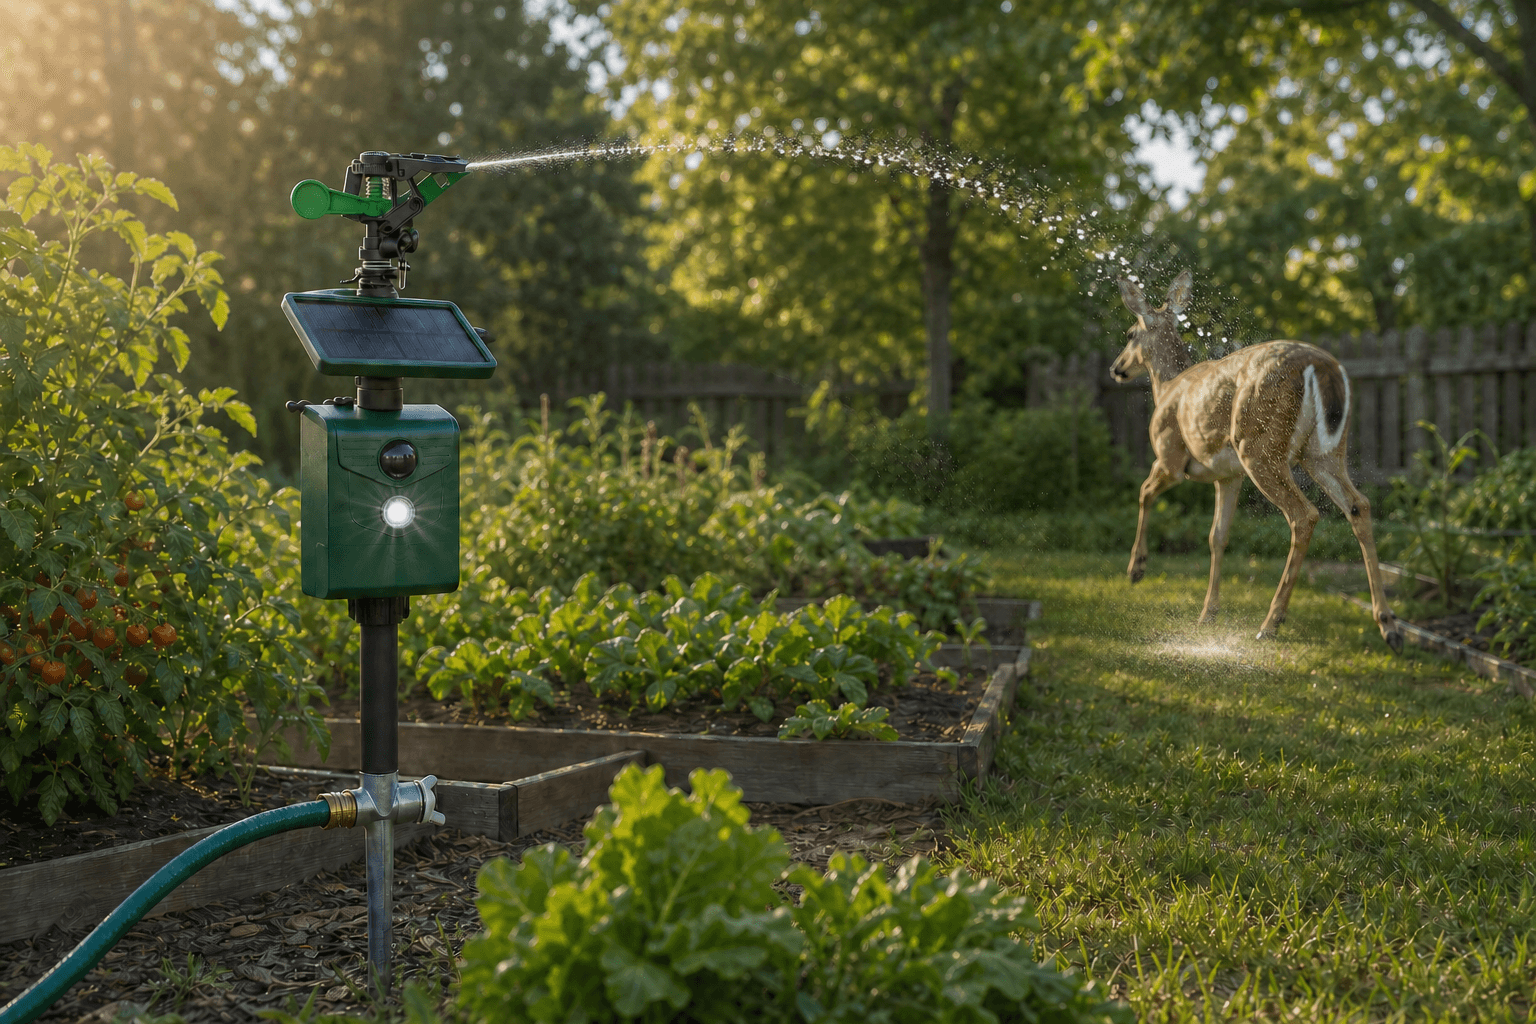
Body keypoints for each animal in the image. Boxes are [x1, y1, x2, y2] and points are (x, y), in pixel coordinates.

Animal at [1110, 270, 1402, 651]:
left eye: (1130, 334)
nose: (1116, 368)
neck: (1167, 386)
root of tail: (1323, 367)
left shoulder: (1171, 455)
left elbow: (1144, 492)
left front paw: (1136, 569)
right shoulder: (1227, 476)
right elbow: (1217, 536)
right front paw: (1208, 613)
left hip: (1258, 443)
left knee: (1304, 515)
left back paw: (1271, 623)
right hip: (1324, 452)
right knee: (1359, 505)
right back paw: (1389, 627)